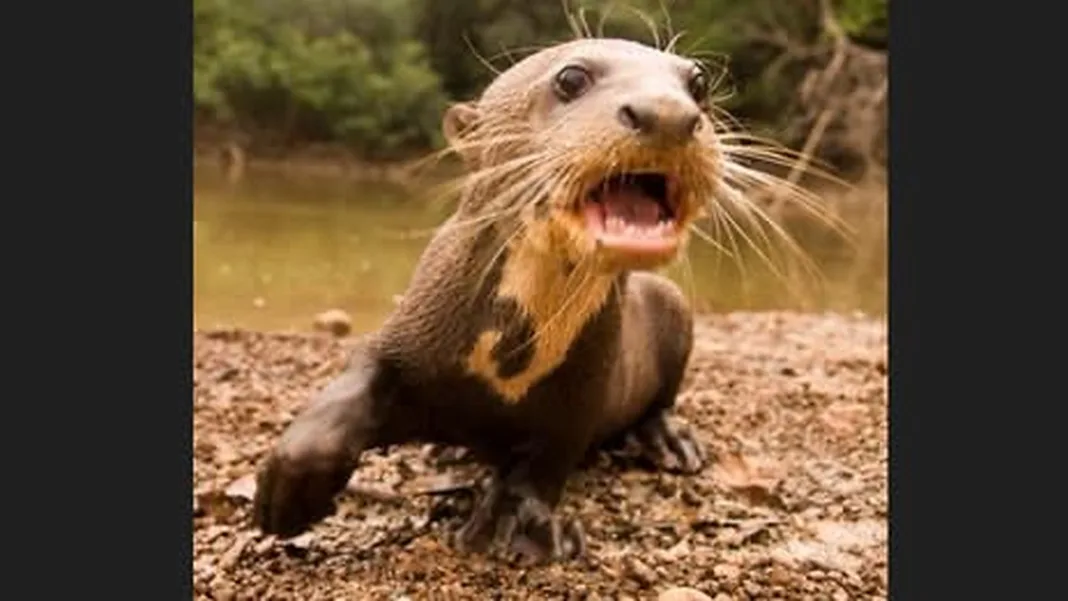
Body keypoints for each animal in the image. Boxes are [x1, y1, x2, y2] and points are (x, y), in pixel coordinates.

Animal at [253, 37, 730, 562]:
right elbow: (355, 382)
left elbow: (544, 464)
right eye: (571, 78)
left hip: (672, 306)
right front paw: (290, 491)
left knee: (661, 399)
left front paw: (514, 523)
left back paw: (670, 441)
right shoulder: (411, 336)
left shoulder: (581, 399)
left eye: (699, 82)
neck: (509, 362)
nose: (668, 113)